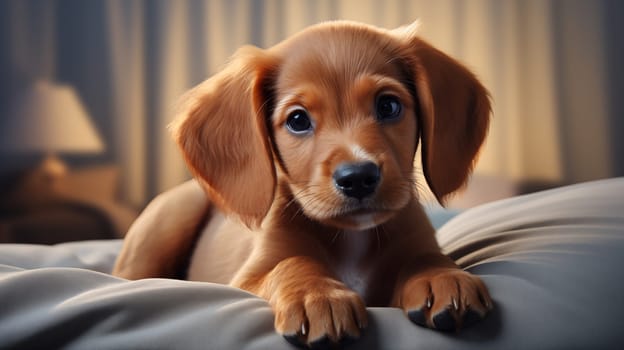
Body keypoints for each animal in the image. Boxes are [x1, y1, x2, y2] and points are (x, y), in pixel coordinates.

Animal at [113, 19, 492, 348]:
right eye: (298, 120)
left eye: (388, 105)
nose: (357, 178)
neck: (352, 238)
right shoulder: (244, 281)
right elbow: (291, 262)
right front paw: (318, 296)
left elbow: (424, 257)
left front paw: (443, 276)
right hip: (172, 215)